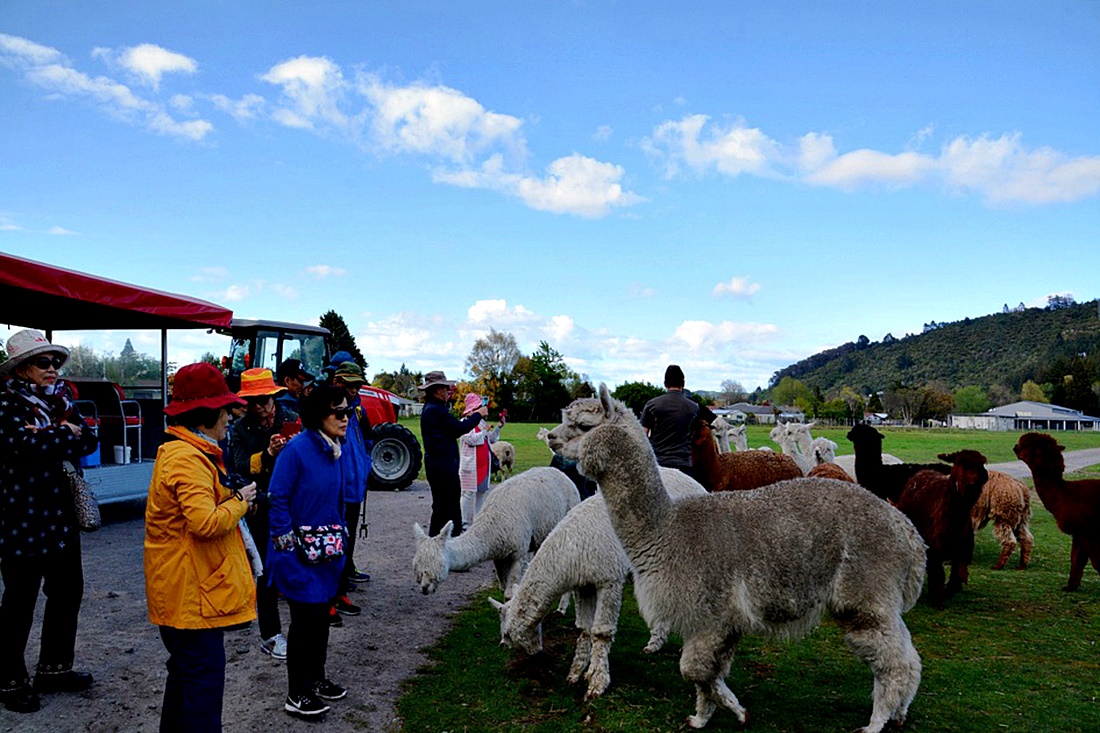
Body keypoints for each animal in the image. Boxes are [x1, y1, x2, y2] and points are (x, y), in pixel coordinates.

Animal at [412, 467, 580, 596]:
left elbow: (509, 593)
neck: (494, 526)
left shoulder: (518, 552)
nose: (425, 588)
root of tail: (561, 472)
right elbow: (503, 587)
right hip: (541, 534)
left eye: (437, 565)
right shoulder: (499, 556)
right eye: (417, 566)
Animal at [490, 467, 707, 700]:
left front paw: (597, 683)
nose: (534, 654)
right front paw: (577, 673)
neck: (571, 549)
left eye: (507, 635)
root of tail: (693, 480)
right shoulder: (584, 585)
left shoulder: (609, 579)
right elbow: (584, 629)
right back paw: (654, 644)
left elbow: (602, 632)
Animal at [567, 385, 925, 732]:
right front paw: (705, 715)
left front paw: (732, 712)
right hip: (879, 599)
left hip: (865, 593)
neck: (666, 528)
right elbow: (705, 673)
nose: (554, 440)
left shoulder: (713, 612)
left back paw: (876, 722)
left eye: (582, 426)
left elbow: (693, 669)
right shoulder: (711, 619)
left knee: (893, 663)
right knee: (909, 656)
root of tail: (907, 531)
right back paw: (899, 713)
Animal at [894, 450, 989, 607]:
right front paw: (937, 601)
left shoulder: (962, 549)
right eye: (961, 463)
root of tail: (924, 471)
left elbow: (957, 575)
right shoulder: (934, 549)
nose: (980, 478)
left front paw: (948, 592)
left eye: (981, 463)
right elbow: (938, 574)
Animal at [1012, 432, 1100, 591]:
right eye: (1022, 443)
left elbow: (1096, 562)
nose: (1015, 447)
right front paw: (1070, 586)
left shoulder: (1089, 531)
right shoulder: (1079, 532)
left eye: (1028, 446)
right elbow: (1076, 559)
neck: (1066, 494)